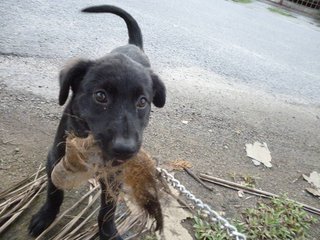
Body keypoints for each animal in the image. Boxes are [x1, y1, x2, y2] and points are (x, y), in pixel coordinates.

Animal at [28, 4, 165, 239]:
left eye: (142, 102)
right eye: (100, 96)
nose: (126, 149)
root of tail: (133, 45)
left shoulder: (114, 175)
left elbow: (108, 207)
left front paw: (108, 231)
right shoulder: (55, 156)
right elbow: (54, 191)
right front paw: (45, 217)